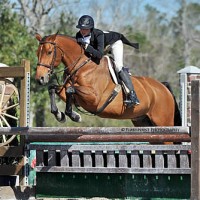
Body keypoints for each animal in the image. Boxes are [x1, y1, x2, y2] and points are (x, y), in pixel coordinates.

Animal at [34, 32, 181, 126]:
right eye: (37, 53)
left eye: (49, 52)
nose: (40, 78)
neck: (81, 66)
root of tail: (163, 87)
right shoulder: (73, 93)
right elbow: (53, 88)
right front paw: (60, 115)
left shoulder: (94, 98)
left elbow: (70, 90)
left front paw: (74, 116)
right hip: (142, 121)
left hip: (163, 122)